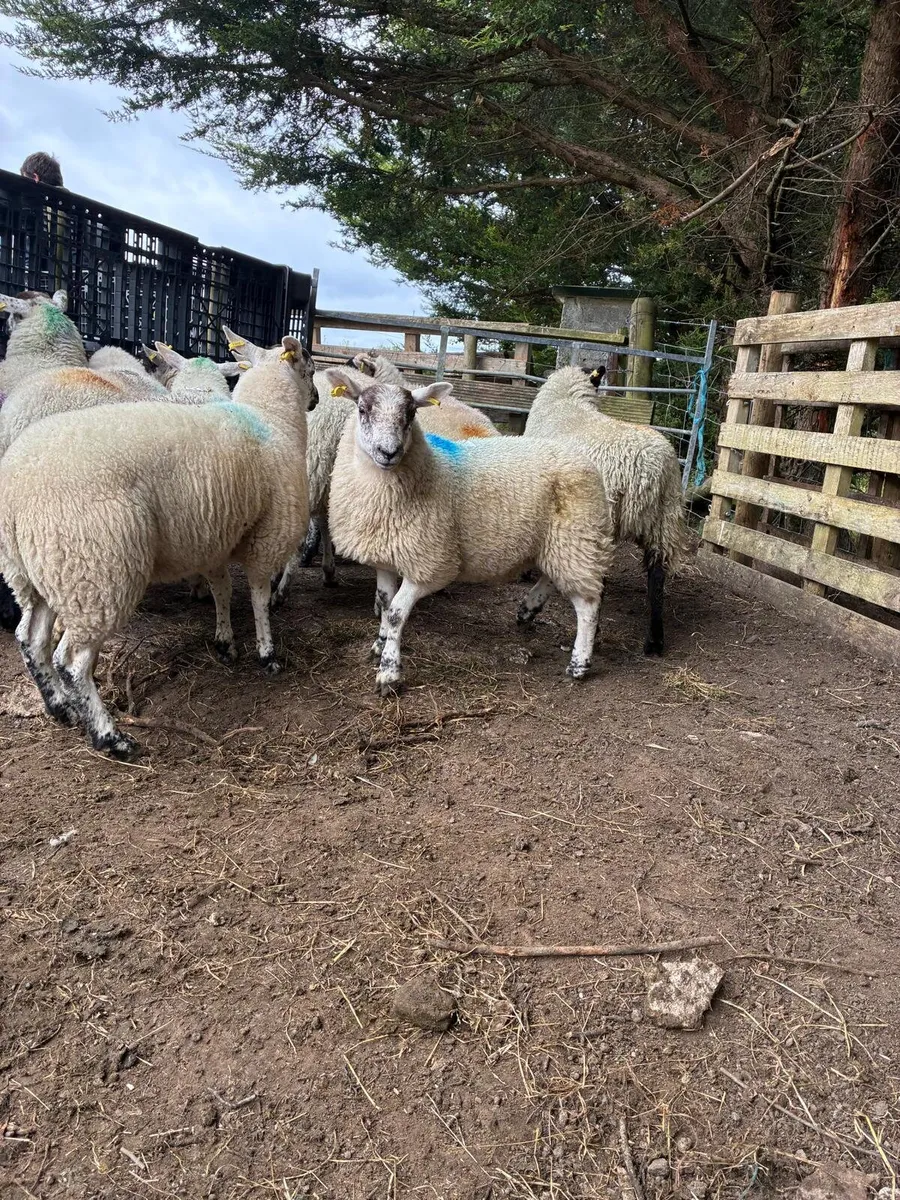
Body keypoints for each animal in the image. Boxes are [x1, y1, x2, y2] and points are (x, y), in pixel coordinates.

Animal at [0, 336, 314, 760]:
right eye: (309, 367)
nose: (315, 400)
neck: (271, 418)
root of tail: (16, 486)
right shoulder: (267, 535)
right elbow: (258, 596)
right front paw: (267, 653)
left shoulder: (213, 536)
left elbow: (222, 590)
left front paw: (225, 642)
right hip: (95, 570)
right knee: (72, 661)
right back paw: (109, 736)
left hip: (46, 573)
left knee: (31, 640)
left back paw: (61, 708)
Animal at [324, 368, 614, 696]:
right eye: (362, 410)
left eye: (411, 414)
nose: (389, 452)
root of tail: (585, 462)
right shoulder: (385, 554)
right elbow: (385, 603)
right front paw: (379, 643)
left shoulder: (429, 564)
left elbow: (397, 612)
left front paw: (389, 672)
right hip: (560, 544)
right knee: (554, 577)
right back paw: (529, 608)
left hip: (577, 536)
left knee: (588, 604)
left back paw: (579, 663)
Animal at [523, 365, 688, 656]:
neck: (566, 402)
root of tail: (650, 470)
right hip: (665, 519)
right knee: (657, 576)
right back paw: (654, 641)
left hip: (604, 514)